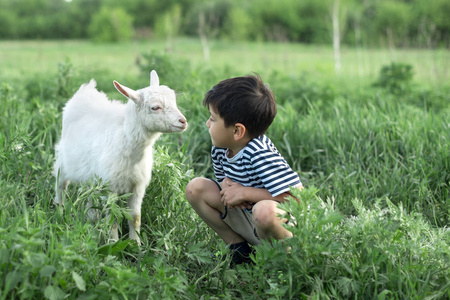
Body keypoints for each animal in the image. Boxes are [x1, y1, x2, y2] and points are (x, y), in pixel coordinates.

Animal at [54, 71, 188, 244]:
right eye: (155, 107)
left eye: (174, 101)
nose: (183, 121)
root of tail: (87, 89)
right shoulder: (109, 187)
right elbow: (112, 218)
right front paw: (114, 242)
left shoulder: (137, 186)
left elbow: (135, 217)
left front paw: (135, 244)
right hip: (63, 163)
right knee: (61, 187)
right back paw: (60, 212)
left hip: (92, 177)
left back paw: (91, 220)